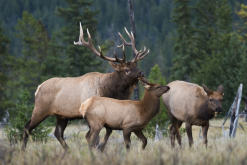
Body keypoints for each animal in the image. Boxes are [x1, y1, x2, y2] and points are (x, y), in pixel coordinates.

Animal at [21, 22, 149, 151]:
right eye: (127, 69)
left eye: (135, 65)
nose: (142, 72)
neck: (110, 92)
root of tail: (38, 88)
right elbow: (93, 137)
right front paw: (96, 149)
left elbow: (108, 131)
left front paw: (100, 149)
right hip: (40, 109)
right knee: (27, 127)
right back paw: (23, 150)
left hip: (61, 116)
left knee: (58, 133)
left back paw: (68, 151)